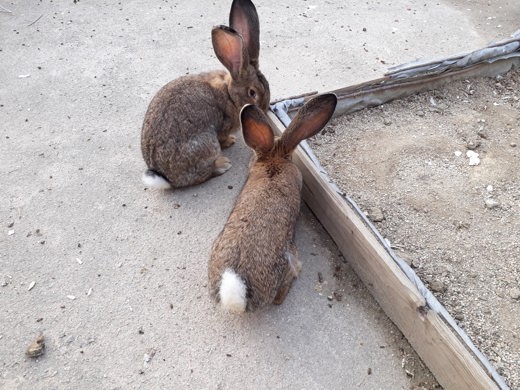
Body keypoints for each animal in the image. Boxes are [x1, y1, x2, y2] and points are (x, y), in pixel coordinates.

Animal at [140, 0, 270, 189]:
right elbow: (223, 137)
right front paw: (230, 141)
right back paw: (222, 164)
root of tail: (165, 178)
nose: (264, 111)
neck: (230, 94)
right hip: (207, 144)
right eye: (252, 92)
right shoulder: (223, 125)